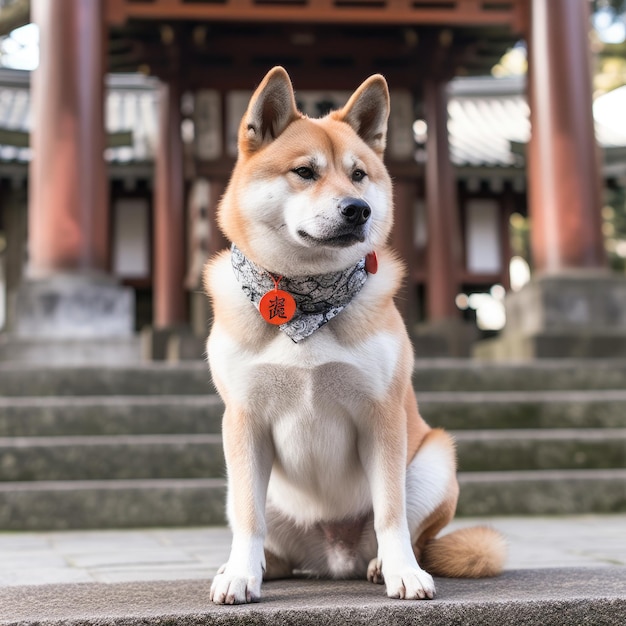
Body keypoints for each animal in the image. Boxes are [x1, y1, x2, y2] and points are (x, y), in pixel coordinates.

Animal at [202, 66, 504, 604]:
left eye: (359, 174)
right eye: (305, 172)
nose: (358, 209)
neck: (304, 297)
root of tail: (333, 558)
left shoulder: (380, 414)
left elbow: (390, 512)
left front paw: (403, 573)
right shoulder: (243, 420)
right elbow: (248, 518)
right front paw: (239, 574)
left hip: (433, 459)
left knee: (410, 531)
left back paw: (383, 564)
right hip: (244, 482)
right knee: (260, 530)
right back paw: (256, 566)